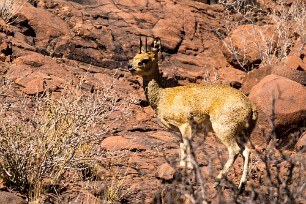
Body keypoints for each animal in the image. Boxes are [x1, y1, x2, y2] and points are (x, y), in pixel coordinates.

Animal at [128, 35, 256, 189]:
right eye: (134, 57)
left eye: (145, 60)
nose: (130, 67)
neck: (163, 97)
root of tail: (250, 106)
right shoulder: (179, 130)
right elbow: (182, 146)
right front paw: (182, 166)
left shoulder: (185, 125)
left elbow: (188, 146)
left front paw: (188, 168)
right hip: (240, 133)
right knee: (246, 151)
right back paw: (241, 185)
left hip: (224, 129)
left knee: (235, 150)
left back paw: (217, 180)